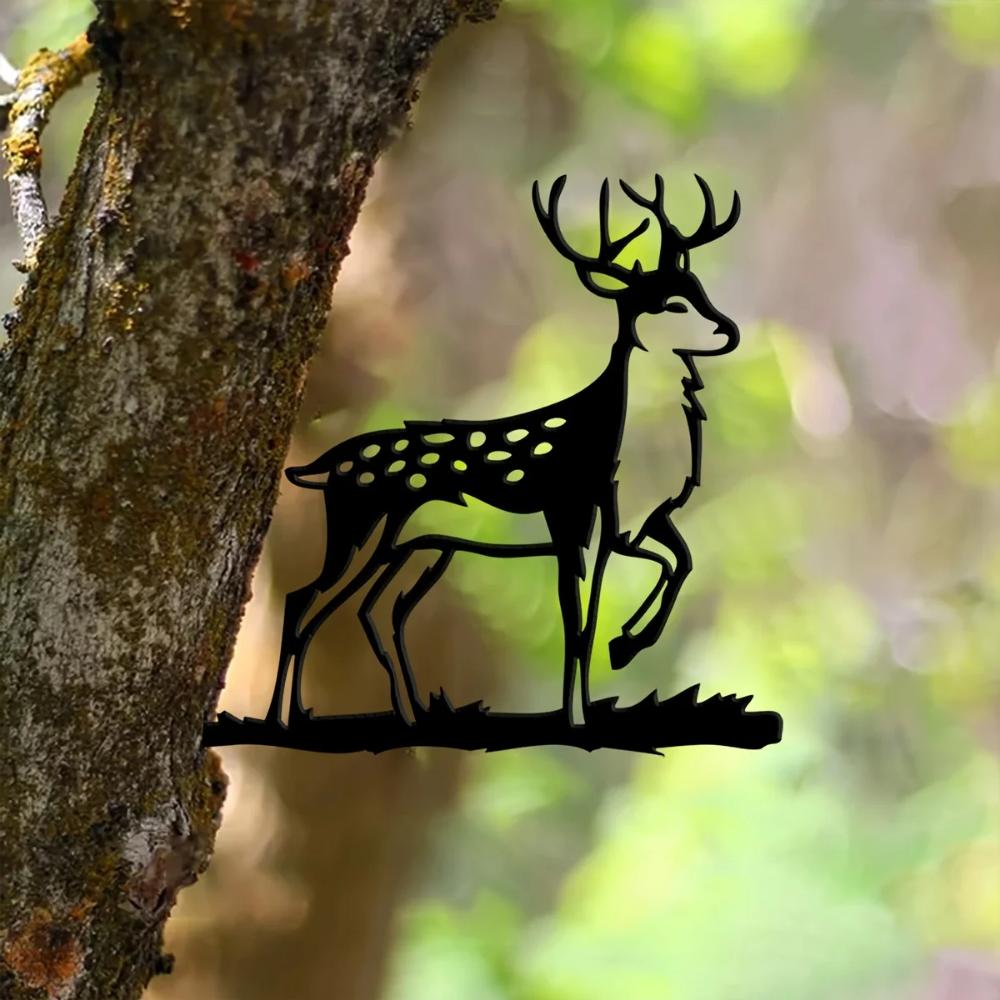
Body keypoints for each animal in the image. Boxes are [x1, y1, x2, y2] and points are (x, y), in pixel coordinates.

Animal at [263, 173, 741, 729]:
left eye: (697, 291)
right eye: (670, 304)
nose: (728, 330)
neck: (614, 447)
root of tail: (321, 468)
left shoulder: (629, 524)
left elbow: (676, 564)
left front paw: (621, 650)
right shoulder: (571, 515)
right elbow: (578, 622)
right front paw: (578, 716)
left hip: (422, 547)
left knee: (375, 609)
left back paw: (403, 712)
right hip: (362, 528)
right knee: (305, 600)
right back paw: (285, 718)